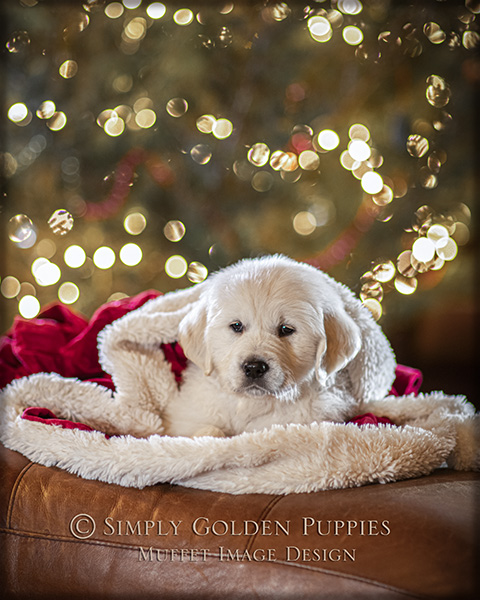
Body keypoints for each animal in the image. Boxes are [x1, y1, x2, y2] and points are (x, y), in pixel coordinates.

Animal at [159, 253, 396, 436]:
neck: (253, 404)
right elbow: (206, 430)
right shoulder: (189, 415)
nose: (254, 367)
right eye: (236, 326)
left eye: (286, 329)